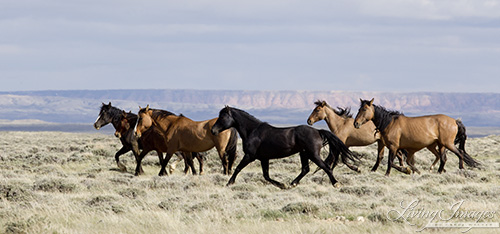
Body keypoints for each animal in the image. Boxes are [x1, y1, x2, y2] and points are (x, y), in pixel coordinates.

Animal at [209, 106, 358, 188]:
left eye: (222, 117)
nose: (213, 130)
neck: (253, 131)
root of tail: (318, 131)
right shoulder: (264, 158)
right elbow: (266, 176)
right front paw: (282, 185)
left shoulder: (250, 156)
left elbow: (238, 168)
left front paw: (229, 183)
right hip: (304, 153)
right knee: (305, 169)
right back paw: (292, 183)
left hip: (313, 154)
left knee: (325, 167)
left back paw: (336, 183)